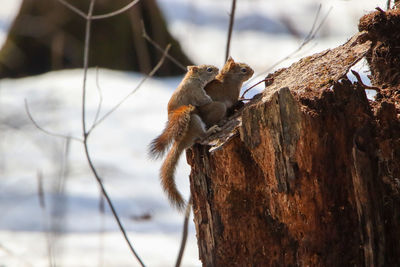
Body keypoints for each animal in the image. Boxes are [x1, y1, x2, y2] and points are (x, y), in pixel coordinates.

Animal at [149, 65, 219, 211]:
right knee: (201, 136)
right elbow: (206, 100)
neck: (191, 78)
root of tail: (180, 143)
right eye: (209, 69)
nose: (217, 70)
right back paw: (211, 130)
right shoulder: (196, 92)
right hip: (195, 121)